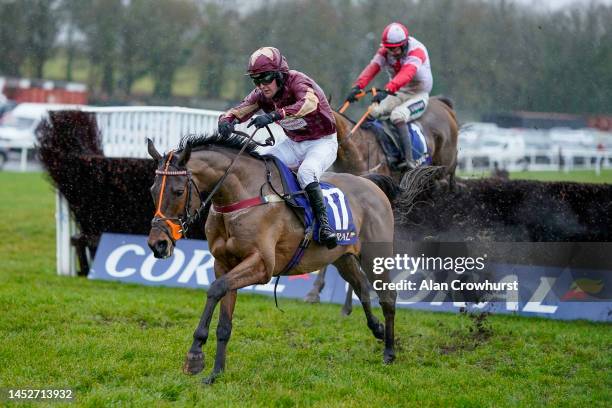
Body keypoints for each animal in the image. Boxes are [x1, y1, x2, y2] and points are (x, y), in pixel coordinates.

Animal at [146, 132, 400, 384]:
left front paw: (195, 356)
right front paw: (216, 372)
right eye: (152, 190)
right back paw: (377, 329)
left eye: (178, 192)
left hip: (375, 255)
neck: (241, 196)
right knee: (361, 287)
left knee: (387, 297)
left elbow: (215, 289)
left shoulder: (261, 266)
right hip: (342, 257)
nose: (158, 244)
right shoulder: (224, 264)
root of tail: (369, 182)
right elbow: (224, 319)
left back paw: (389, 352)